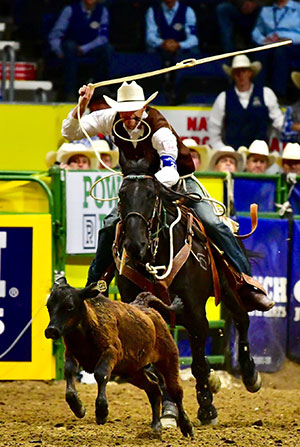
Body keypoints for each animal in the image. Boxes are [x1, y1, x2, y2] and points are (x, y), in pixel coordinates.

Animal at [45, 280, 195, 438]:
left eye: (70, 306)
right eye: (49, 306)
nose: (51, 330)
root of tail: (144, 307)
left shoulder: (111, 351)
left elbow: (101, 374)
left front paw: (102, 412)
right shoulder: (71, 354)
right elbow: (69, 372)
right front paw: (78, 407)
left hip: (168, 358)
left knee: (176, 392)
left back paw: (187, 426)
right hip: (132, 372)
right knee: (153, 388)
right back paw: (156, 425)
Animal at [114, 158, 260, 428]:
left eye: (151, 194)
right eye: (121, 195)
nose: (135, 245)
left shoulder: (196, 314)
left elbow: (199, 365)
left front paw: (207, 409)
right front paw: (169, 411)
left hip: (228, 287)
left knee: (242, 319)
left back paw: (249, 375)